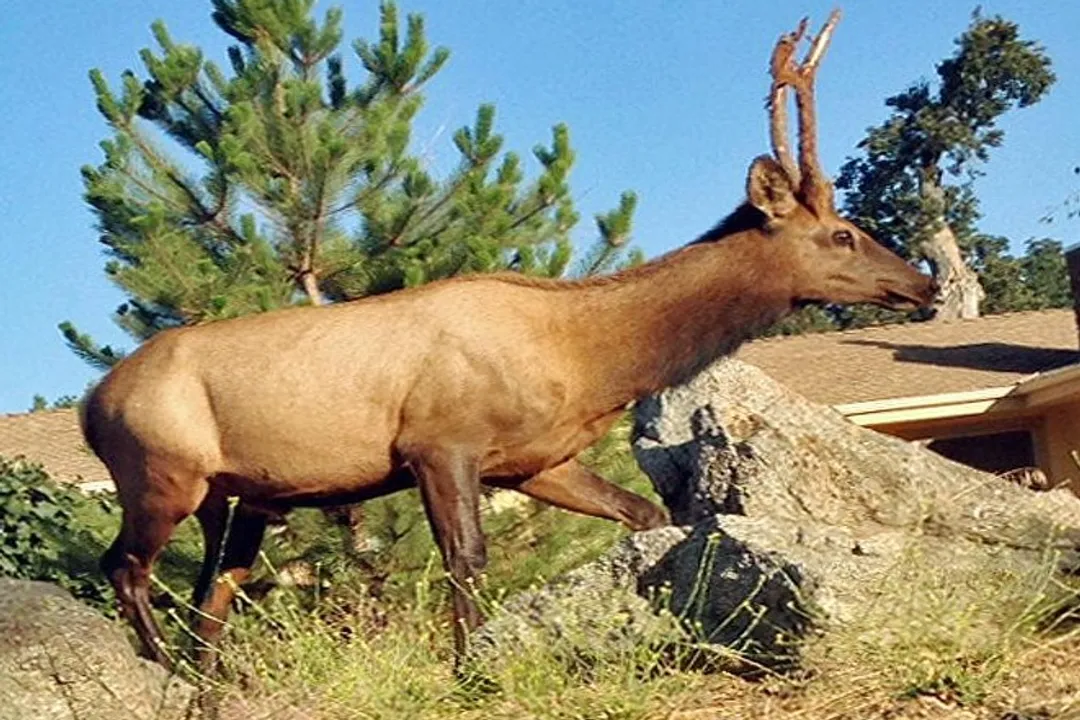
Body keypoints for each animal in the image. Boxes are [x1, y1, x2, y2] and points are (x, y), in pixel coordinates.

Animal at [82, 10, 936, 674]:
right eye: (841, 233)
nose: (923, 282)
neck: (587, 359)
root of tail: (94, 402)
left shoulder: (535, 459)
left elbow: (643, 515)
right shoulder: (439, 441)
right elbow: (467, 560)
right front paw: (469, 668)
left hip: (240, 494)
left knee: (210, 593)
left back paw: (215, 684)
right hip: (160, 469)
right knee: (123, 566)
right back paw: (164, 671)